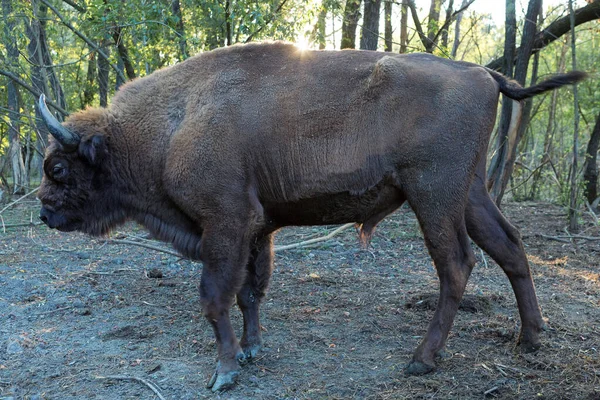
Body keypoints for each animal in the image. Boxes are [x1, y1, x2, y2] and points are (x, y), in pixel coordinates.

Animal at [37, 42, 584, 392]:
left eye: (58, 167)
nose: (44, 212)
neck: (174, 124)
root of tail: (485, 73)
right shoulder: (256, 230)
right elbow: (249, 292)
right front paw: (252, 349)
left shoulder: (225, 223)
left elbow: (215, 298)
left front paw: (224, 373)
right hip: (471, 193)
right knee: (511, 247)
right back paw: (530, 339)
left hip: (434, 195)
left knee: (456, 264)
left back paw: (422, 360)